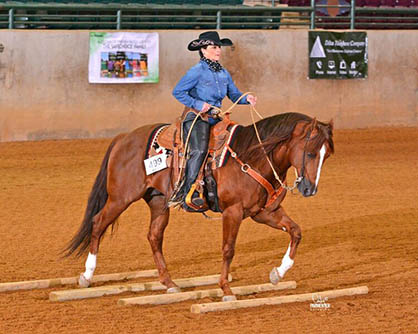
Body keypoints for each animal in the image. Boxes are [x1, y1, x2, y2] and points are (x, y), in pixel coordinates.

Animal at [65, 111, 334, 300]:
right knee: (98, 223)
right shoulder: (233, 211)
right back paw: (86, 276)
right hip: (121, 197)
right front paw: (226, 289)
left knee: (154, 236)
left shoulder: (264, 212)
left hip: (158, 201)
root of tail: (124, 138)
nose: (310, 189)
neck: (253, 156)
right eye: (310, 153)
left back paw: (170, 284)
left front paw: (278, 273)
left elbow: (296, 231)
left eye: (327, 155)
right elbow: (228, 249)